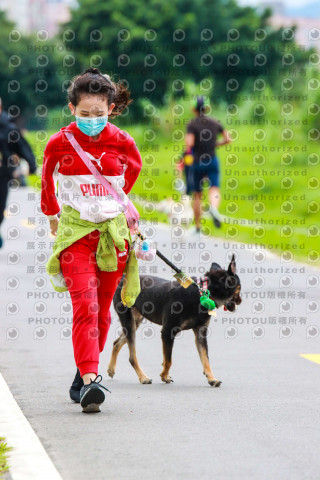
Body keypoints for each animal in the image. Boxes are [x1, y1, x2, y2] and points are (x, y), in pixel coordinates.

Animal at [106, 255, 241, 386]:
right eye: (239, 289)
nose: (240, 300)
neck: (202, 293)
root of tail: (123, 278)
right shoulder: (167, 332)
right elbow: (168, 360)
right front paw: (164, 375)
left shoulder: (200, 333)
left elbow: (205, 359)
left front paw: (212, 379)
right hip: (128, 320)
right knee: (132, 356)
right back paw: (143, 377)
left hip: (135, 321)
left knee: (117, 343)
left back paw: (111, 369)